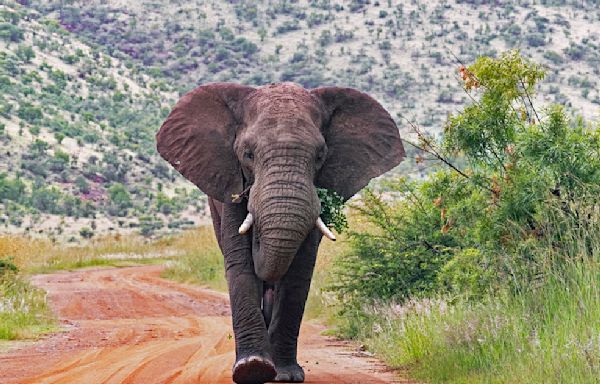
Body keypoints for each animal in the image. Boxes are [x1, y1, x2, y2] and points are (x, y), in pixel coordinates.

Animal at [157, 82, 406, 382]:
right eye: (248, 154)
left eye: (320, 156)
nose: (258, 238)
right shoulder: (230, 184)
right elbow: (240, 264)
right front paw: (252, 369)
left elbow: (298, 271)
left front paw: (285, 375)